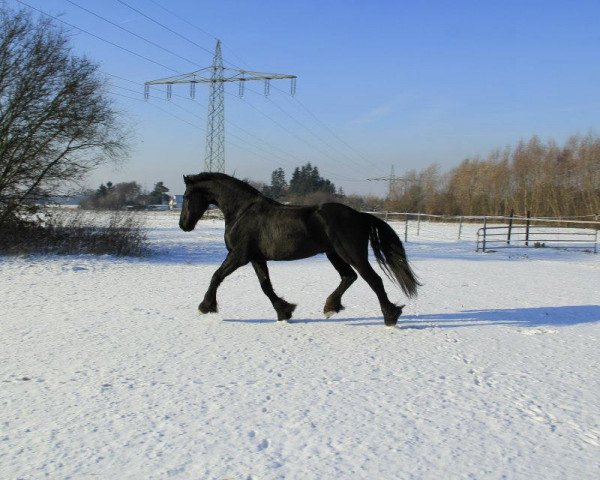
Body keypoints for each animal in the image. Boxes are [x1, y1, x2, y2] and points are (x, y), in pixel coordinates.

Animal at [180, 172, 420, 326]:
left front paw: (206, 306)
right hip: (334, 254)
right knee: (349, 277)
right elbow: (266, 286)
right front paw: (284, 311)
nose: (184, 225)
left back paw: (390, 316)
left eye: (187, 196)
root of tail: (360, 215)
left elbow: (216, 275)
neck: (242, 211)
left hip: (352, 254)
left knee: (373, 280)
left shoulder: (239, 255)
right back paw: (331, 307)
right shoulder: (257, 258)